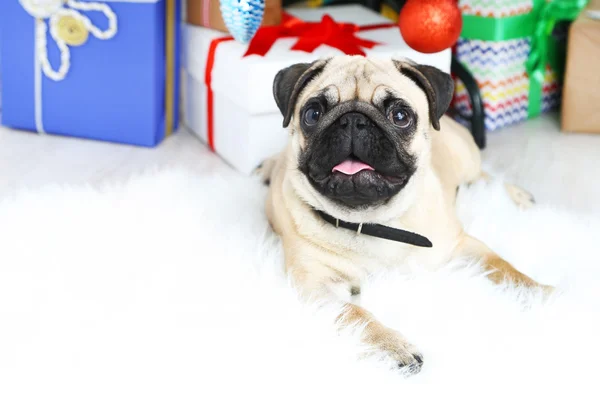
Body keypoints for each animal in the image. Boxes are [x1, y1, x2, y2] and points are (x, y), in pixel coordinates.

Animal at [255, 56, 552, 376]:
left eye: (400, 116)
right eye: (312, 114)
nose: (353, 121)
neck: (374, 222)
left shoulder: (461, 245)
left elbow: (505, 267)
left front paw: (541, 292)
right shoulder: (317, 287)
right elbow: (355, 312)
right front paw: (392, 346)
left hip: (467, 162)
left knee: (486, 177)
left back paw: (517, 196)